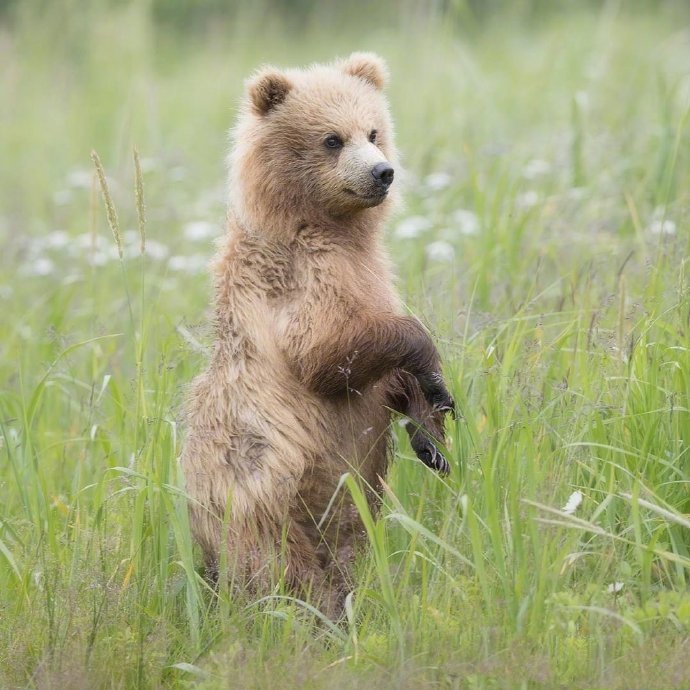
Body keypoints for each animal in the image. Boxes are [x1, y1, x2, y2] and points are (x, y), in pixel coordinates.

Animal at [180, 51, 454, 616]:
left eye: (373, 130)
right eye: (331, 138)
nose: (382, 172)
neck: (328, 224)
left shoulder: (369, 272)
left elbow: (387, 383)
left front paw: (431, 430)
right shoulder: (300, 282)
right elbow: (327, 354)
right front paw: (428, 368)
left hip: (339, 515)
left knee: (348, 547)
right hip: (258, 502)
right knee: (281, 572)